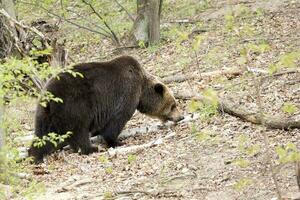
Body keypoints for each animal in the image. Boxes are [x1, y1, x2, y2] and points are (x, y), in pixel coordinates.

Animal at [28, 55, 183, 163]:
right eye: (173, 105)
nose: (181, 117)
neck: (142, 88)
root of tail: (49, 97)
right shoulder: (126, 92)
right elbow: (117, 120)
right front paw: (116, 142)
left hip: (46, 114)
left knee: (43, 134)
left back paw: (35, 156)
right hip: (75, 106)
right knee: (79, 131)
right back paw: (91, 148)